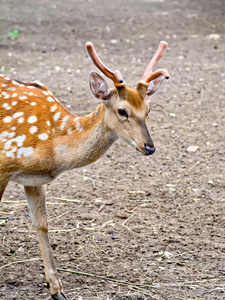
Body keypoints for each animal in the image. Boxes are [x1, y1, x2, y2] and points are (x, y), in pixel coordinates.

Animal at [0, 40, 169, 300]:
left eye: (148, 109)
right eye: (122, 111)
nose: (149, 147)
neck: (52, 147)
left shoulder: (33, 179)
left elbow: (42, 224)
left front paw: (56, 288)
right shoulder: (3, 164)